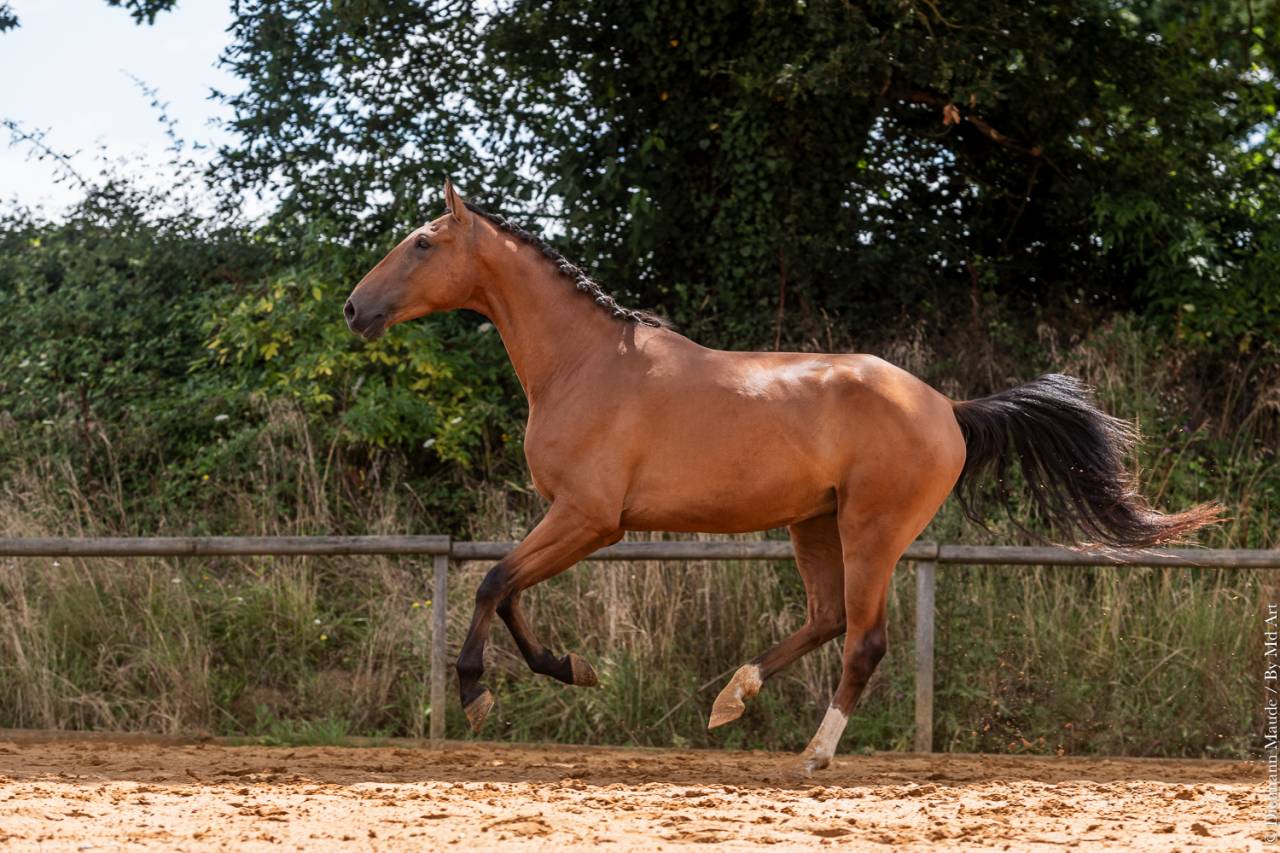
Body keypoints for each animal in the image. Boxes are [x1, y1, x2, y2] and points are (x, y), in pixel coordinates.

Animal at [343, 178, 1218, 770]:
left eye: (422, 243)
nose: (354, 309)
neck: (587, 364)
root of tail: (948, 407)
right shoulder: (575, 519)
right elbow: (510, 590)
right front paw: (572, 667)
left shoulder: (589, 518)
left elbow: (494, 581)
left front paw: (477, 692)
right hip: (813, 524)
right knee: (827, 619)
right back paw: (734, 697)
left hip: (871, 530)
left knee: (863, 640)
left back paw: (814, 752)